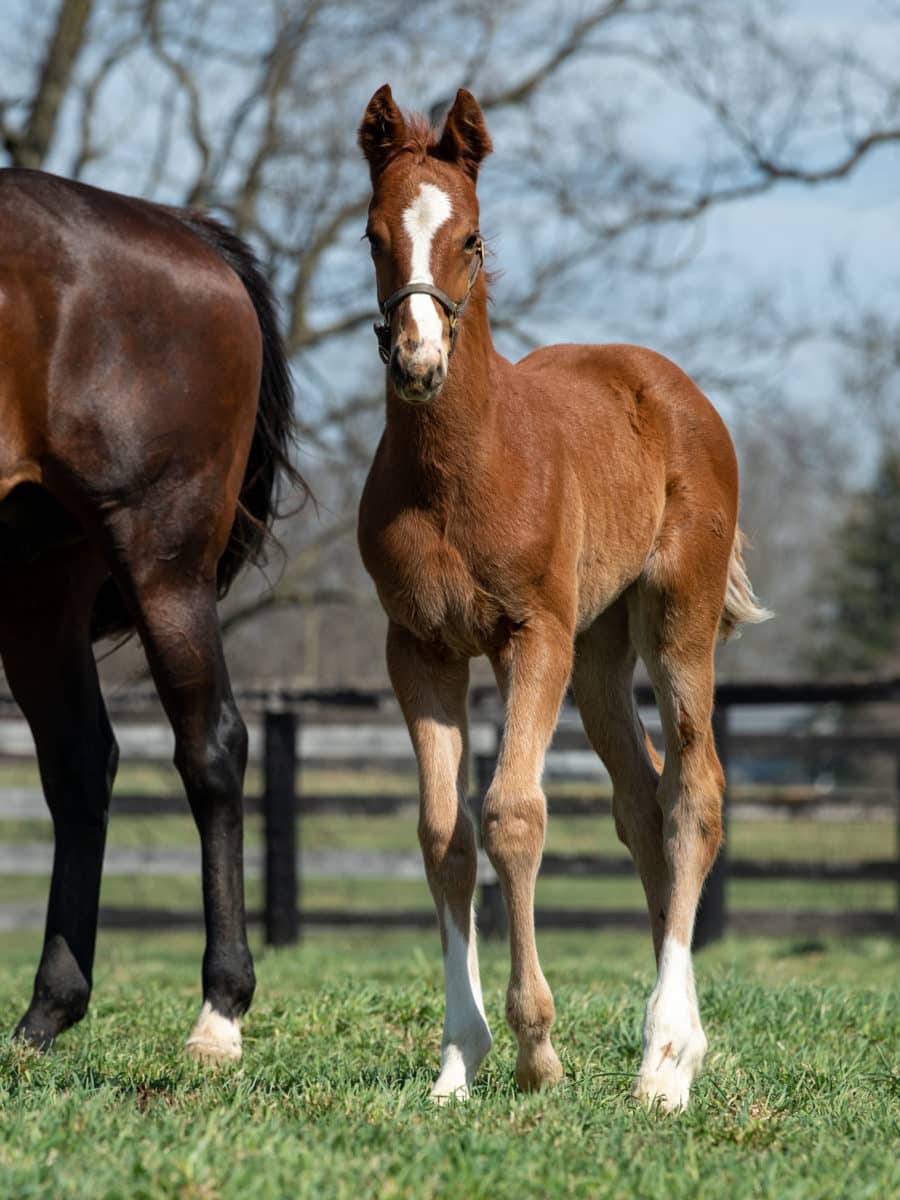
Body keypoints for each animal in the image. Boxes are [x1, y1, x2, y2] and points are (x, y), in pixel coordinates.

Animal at [0, 166, 304, 1060]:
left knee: (213, 748)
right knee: (78, 763)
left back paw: (220, 1013)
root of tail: (182, 231)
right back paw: (46, 1012)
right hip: (35, 582)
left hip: (163, 559)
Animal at [355, 87, 772, 1113]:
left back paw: (665, 1059)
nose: (417, 363)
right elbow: (444, 831)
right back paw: (679, 1042)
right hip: (599, 650)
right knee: (642, 803)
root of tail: (672, 386)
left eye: (470, 236)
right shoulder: (417, 647)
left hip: (675, 618)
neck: (462, 467)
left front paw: (536, 1050)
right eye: (373, 235)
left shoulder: (528, 634)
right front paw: (457, 1063)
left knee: (693, 794)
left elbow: (515, 815)